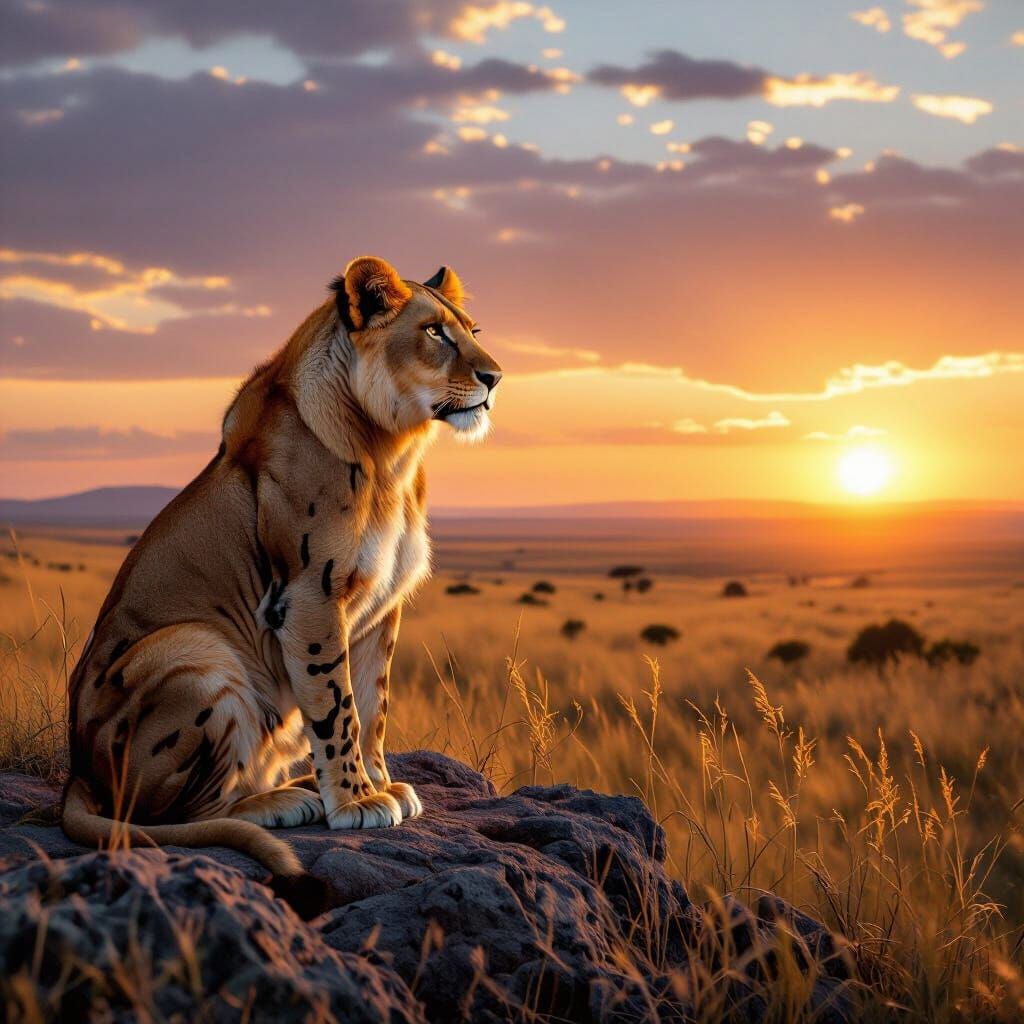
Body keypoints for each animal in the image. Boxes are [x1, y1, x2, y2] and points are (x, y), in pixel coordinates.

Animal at [62, 256, 502, 917]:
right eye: (434, 333)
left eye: (471, 330)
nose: (495, 377)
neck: (392, 453)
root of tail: (77, 771)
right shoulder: (309, 597)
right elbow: (337, 710)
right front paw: (356, 802)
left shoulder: (381, 609)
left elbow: (372, 704)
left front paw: (381, 784)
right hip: (195, 649)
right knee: (179, 815)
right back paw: (287, 801)